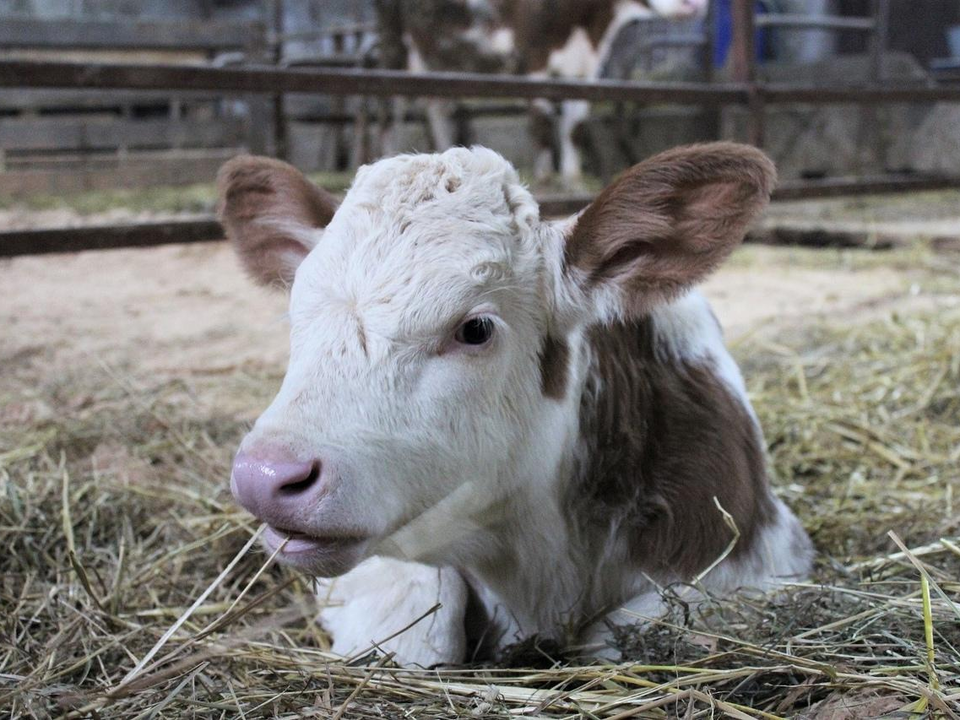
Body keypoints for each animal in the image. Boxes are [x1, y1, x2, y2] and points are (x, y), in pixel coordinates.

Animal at [221, 143, 812, 668]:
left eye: (476, 328)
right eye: (296, 312)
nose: (265, 474)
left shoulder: (763, 558)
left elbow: (614, 634)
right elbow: (421, 624)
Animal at [378, 0, 708, 181]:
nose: (695, 6)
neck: (589, 26)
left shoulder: (585, 70)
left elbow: (574, 128)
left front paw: (572, 179)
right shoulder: (534, 58)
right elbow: (542, 125)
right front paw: (545, 177)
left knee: (436, 107)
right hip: (394, 46)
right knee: (389, 113)